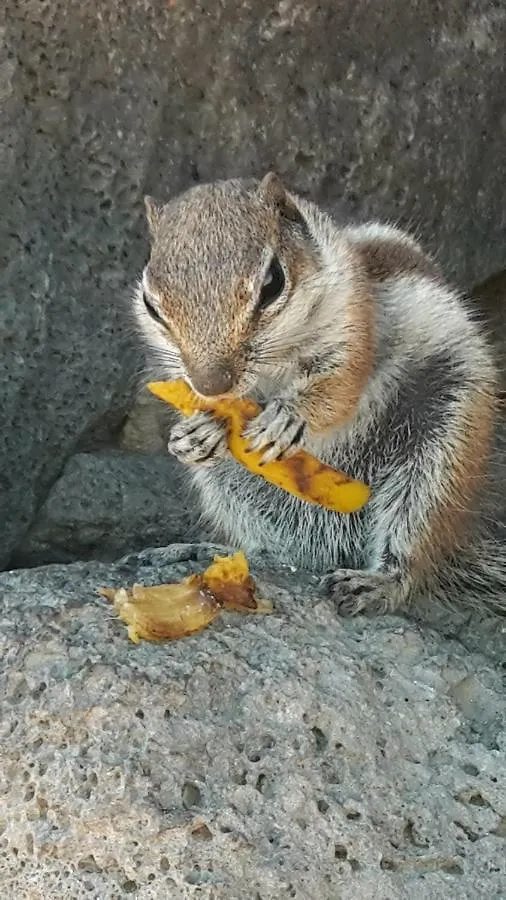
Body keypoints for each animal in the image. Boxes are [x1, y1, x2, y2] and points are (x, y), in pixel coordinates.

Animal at [134, 172, 506, 616]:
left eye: (272, 283)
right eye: (151, 305)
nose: (211, 384)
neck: (271, 371)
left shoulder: (351, 328)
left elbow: (338, 391)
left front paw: (287, 417)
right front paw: (197, 431)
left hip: (440, 443)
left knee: (412, 548)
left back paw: (377, 582)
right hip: (232, 489)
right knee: (281, 552)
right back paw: (204, 550)